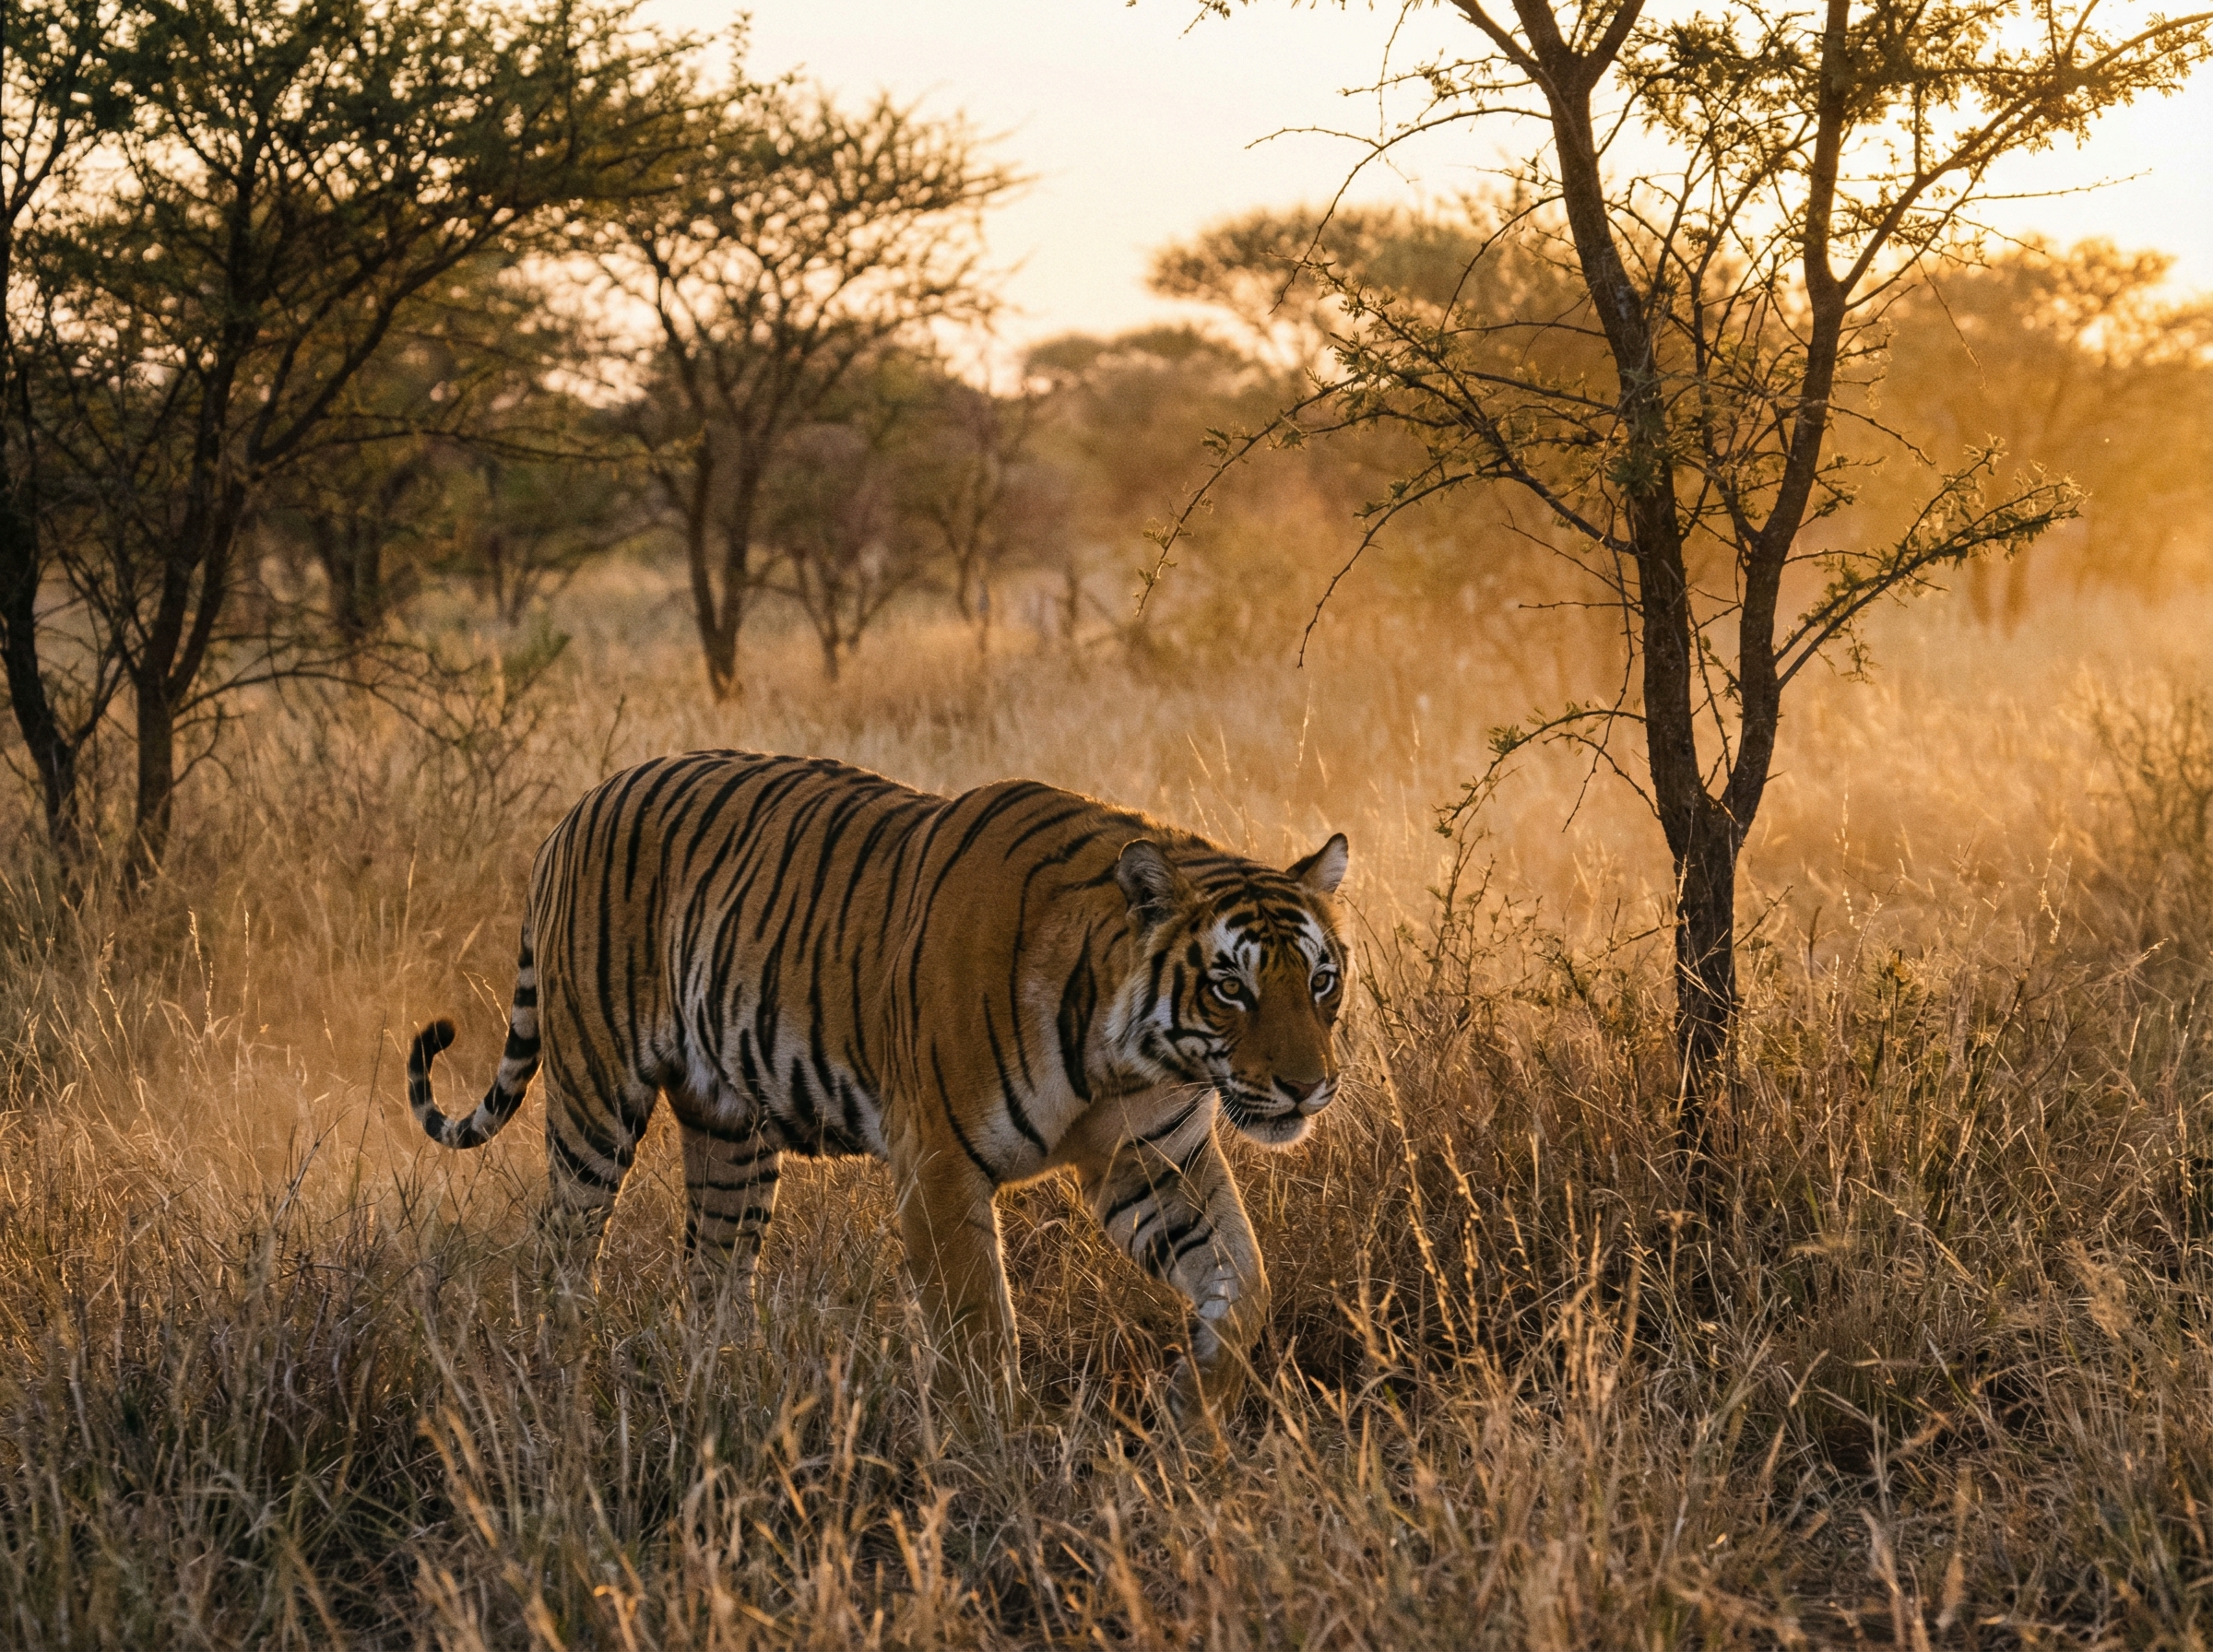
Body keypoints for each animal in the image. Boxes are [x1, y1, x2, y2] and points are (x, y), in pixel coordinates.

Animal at [405, 750, 1350, 1417]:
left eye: (1320, 980)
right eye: (1230, 987)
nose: (1309, 1089)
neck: (1127, 1055)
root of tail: (579, 806)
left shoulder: (1152, 1162)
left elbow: (1245, 1283)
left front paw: (1191, 1410)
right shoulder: (939, 1165)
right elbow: (978, 1333)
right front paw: (999, 1460)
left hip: (731, 1134)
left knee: (713, 1275)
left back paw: (735, 1393)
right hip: (597, 1099)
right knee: (560, 1250)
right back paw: (563, 1381)